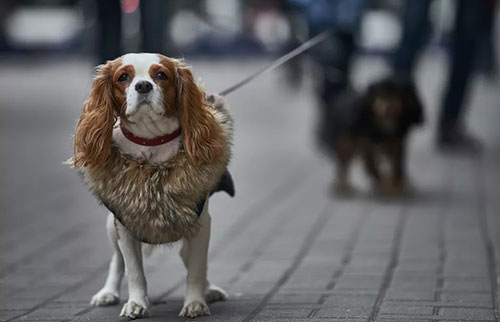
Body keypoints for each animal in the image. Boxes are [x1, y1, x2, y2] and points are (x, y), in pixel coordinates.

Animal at [73, 54, 229, 318]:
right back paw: (107, 293)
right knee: (117, 262)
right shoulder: (124, 225)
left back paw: (210, 290)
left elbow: (197, 268)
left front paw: (195, 303)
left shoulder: (200, 223)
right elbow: (134, 271)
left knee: (190, 258)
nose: (143, 85)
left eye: (161, 75)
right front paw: (136, 304)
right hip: (111, 227)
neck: (152, 141)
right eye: (123, 77)